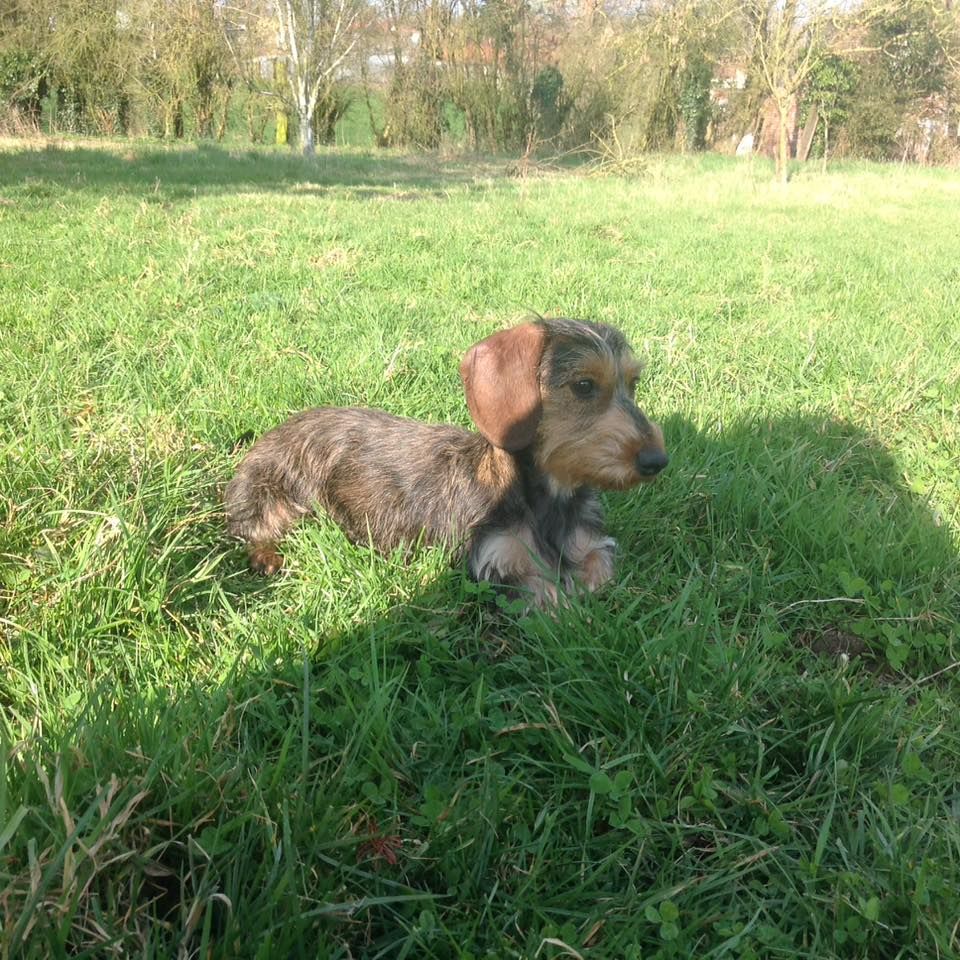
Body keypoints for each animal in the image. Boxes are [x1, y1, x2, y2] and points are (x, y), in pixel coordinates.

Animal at [225, 318, 667, 606]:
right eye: (584, 385)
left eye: (633, 384)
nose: (657, 460)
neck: (550, 500)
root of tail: (276, 430)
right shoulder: (498, 561)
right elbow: (546, 593)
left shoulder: (594, 545)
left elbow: (598, 568)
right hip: (275, 495)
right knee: (249, 530)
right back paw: (265, 557)